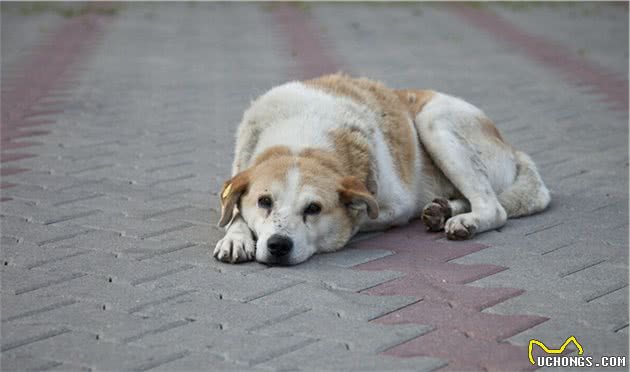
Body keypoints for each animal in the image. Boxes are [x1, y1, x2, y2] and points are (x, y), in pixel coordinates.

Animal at [215, 73, 552, 264]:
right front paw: (236, 237)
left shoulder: (396, 206)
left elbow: (360, 217)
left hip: (435, 120)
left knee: (493, 206)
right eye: (264, 202)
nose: (278, 245)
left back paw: (464, 221)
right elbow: (234, 211)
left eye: (313, 208)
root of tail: (512, 148)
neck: (302, 137)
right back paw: (443, 209)